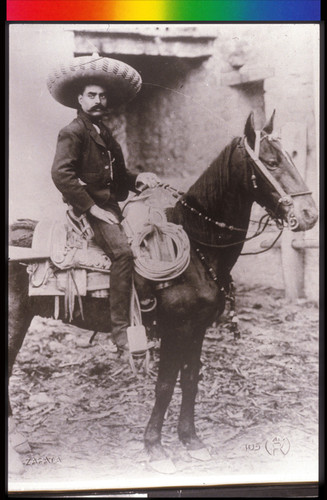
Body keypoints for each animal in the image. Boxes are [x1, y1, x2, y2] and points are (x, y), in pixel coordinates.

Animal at [7, 111, 320, 474]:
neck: (198, 247)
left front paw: (191, 441)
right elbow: (166, 385)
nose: (310, 214)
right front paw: (155, 447)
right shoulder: (176, 329)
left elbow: (190, 381)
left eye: (290, 157)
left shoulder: (197, 329)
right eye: (271, 162)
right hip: (14, 321)